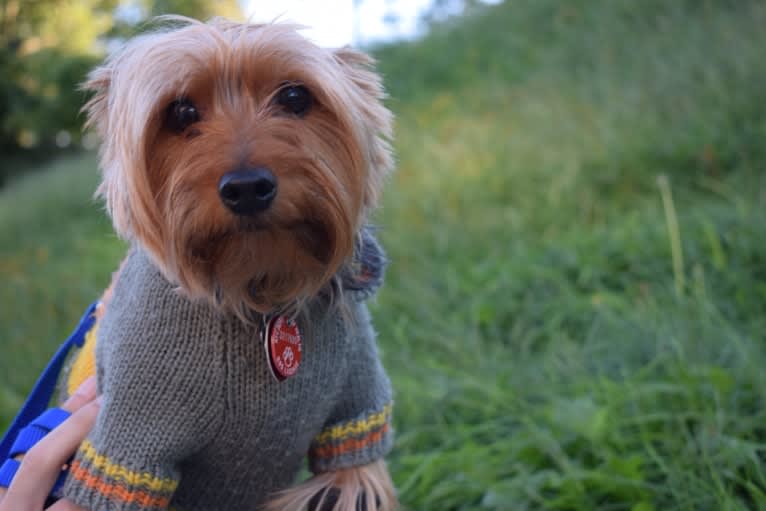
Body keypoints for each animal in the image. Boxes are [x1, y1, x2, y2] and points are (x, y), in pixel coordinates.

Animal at [57, 16, 400, 511]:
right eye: (181, 113)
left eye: (295, 97)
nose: (247, 186)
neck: (257, 291)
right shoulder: (131, 441)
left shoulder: (354, 408)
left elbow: (348, 477)